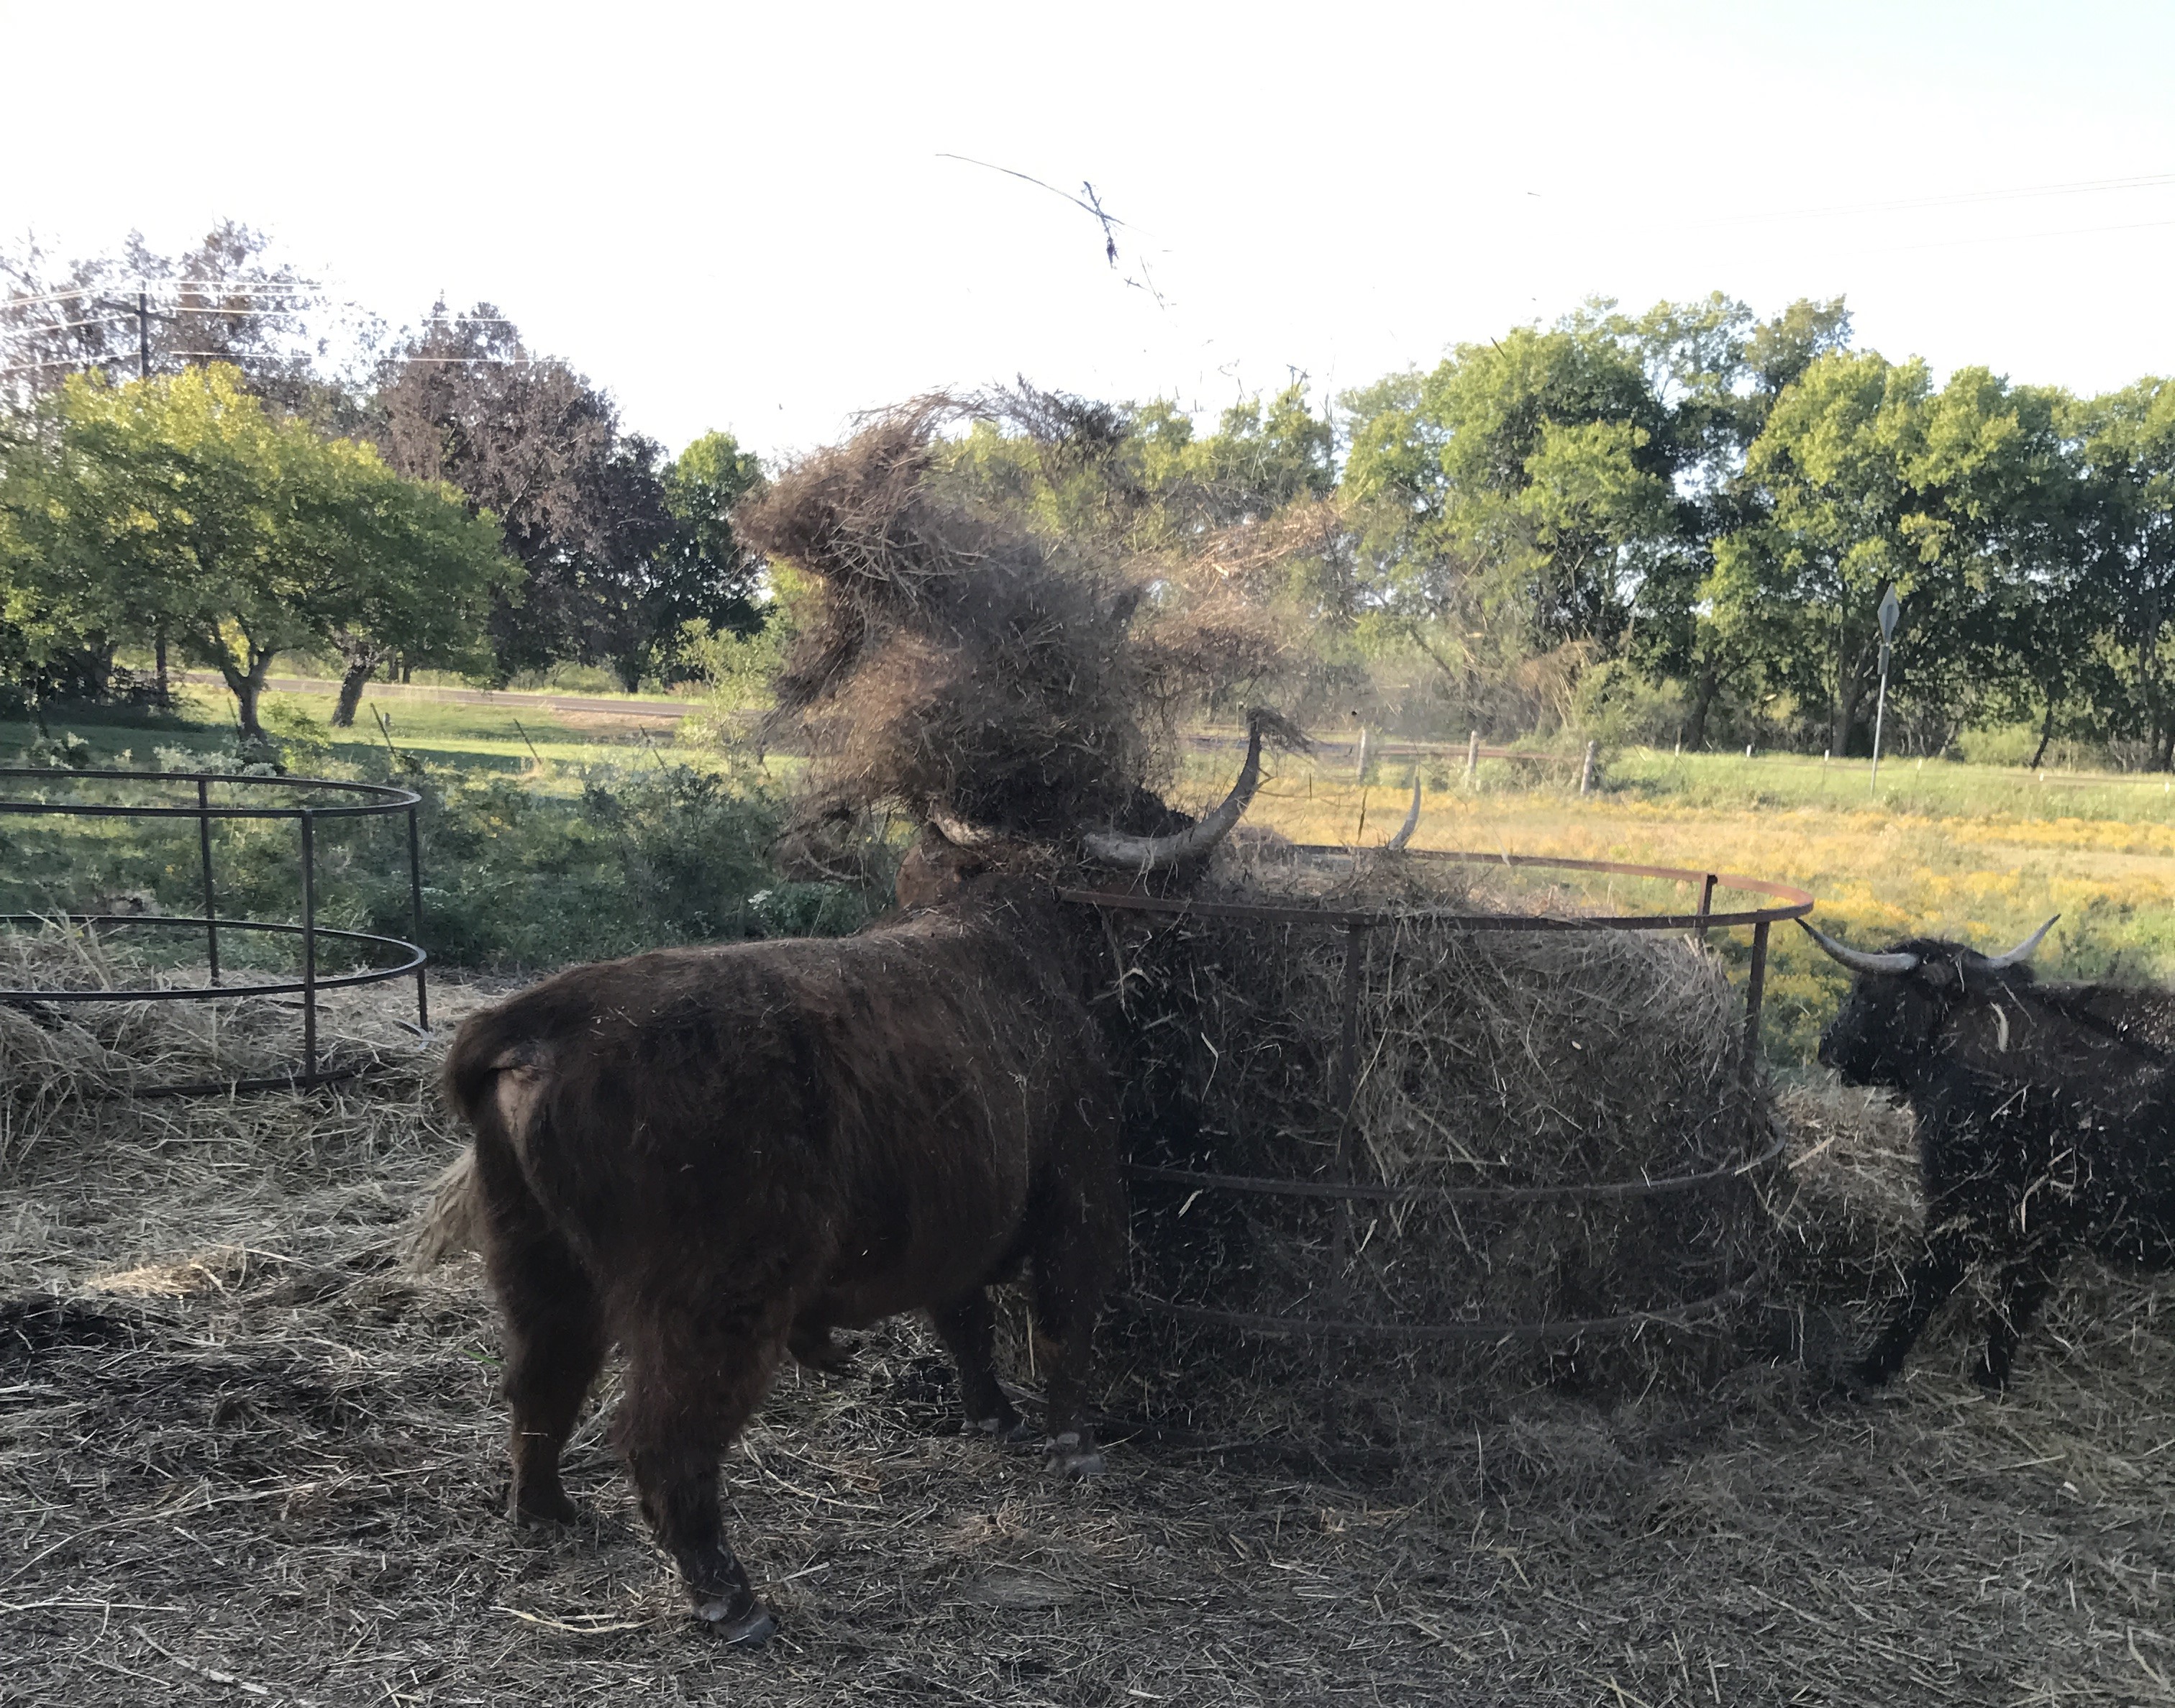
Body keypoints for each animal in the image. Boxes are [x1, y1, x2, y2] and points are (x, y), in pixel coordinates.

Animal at [443, 705, 1287, 1636]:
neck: (1015, 933)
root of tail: (543, 1017)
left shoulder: (956, 1221)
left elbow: (966, 1323)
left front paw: (995, 1417)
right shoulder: (1083, 1196)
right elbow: (1066, 1325)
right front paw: (1076, 1447)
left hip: (535, 1263)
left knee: (539, 1384)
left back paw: (546, 1512)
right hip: (714, 1301)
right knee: (664, 1438)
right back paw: (730, 1596)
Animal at [1792, 918, 2175, 1384]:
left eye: (1865, 991)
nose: (1826, 1046)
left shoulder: (1963, 1199)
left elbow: (1931, 1281)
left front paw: (1874, 1367)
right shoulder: (2049, 1220)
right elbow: (2020, 1297)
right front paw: (1991, 1376)